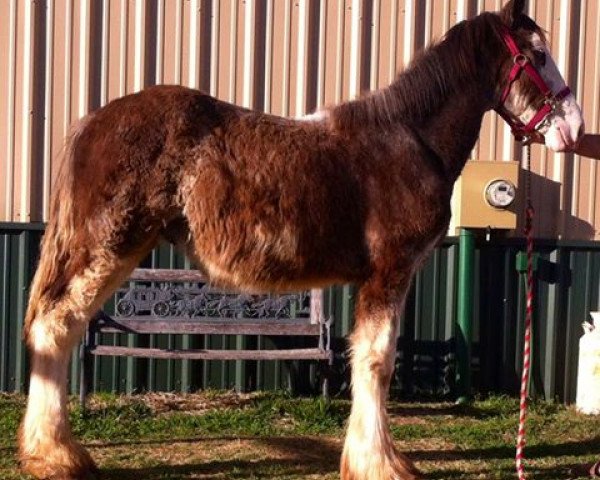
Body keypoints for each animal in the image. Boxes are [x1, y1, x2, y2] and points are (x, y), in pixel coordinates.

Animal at [18, 0, 580, 480]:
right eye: (537, 55)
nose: (573, 128)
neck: (407, 140)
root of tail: (94, 120)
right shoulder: (389, 271)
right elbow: (376, 360)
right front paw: (379, 463)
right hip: (107, 245)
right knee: (55, 326)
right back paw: (55, 456)